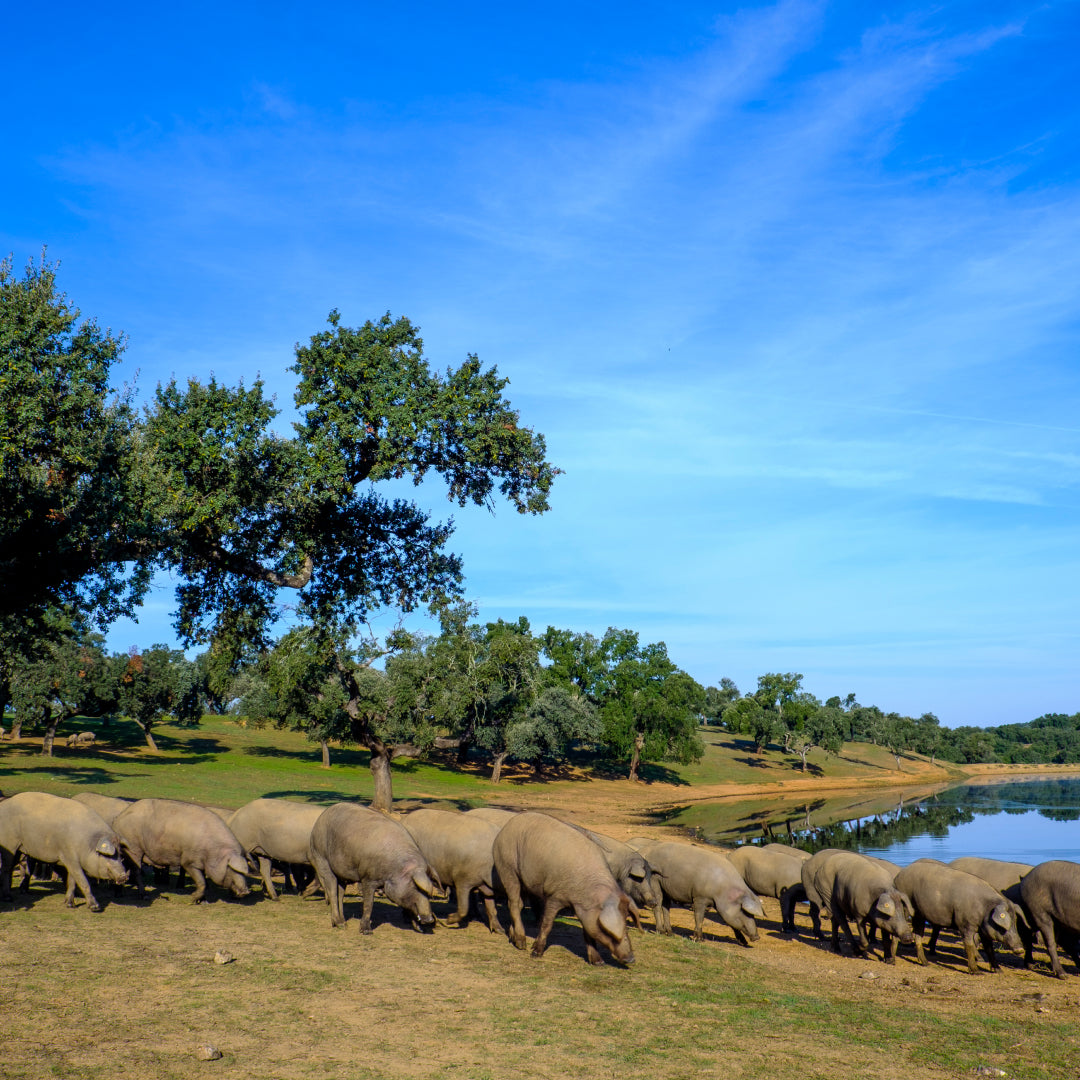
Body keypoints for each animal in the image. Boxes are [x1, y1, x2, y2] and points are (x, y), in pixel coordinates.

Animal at [112, 794, 250, 902]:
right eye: (232, 868)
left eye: (244, 871)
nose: (246, 891)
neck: (213, 850)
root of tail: (118, 819)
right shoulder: (189, 860)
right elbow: (201, 881)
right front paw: (193, 899)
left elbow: (203, 880)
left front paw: (203, 901)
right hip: (133, 847)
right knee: (136, 870)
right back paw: (144, 896)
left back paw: (120, 894)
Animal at [308, 803, 438, 937]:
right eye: (415, 887)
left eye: (428, 893)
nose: (429, 919)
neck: (393, 870)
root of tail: (321, 817)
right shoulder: (368, 878)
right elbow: (369, 904)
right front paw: (366, 931)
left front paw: (420, 929)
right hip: (321, 857)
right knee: (332, 890)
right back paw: (339, 924)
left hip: (341, 871)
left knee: (340, 893)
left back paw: (344, 923)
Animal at [494, 812, 635, 963]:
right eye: (608, 932)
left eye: (626, 926)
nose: (631, 959)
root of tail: (506, 827)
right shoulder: (554, 895)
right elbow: (547, 924)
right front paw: (535, 953)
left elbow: (588, 932)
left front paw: (598, 962)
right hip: (507, 867)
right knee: (513, 903)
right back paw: (521, 944)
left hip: (524, 881)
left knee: (519, 904)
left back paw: (513, 938)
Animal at [626, 833, 768, 946]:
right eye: (745, 912)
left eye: (752, 914)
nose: (757, 937)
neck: (722, 890)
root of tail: (642, 852)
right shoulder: (700, 897)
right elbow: (699, 917)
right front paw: (699, 939)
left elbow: (731, 923)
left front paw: (743, 942)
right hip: (654, 881)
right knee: (657, 904)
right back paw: (660, 931)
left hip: (666, 888)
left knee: (666, 907)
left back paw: (670, 933)